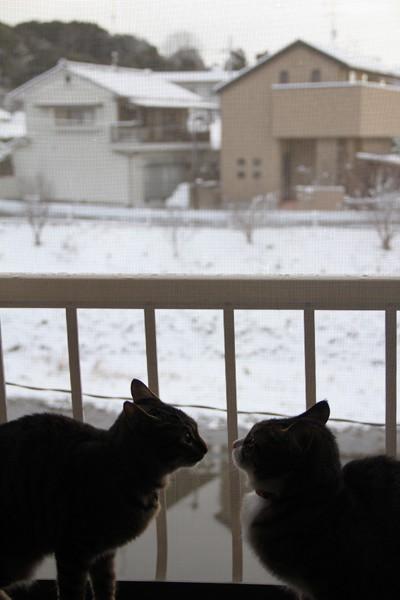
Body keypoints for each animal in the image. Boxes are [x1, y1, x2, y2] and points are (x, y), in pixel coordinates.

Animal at [0, 378, 207, 600]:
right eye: (187, 437)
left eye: (196, 429)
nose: (206, 448)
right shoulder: (73, 551)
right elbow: (73, 592)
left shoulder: (104, 554)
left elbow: (106, 586)